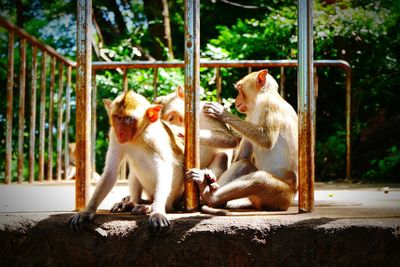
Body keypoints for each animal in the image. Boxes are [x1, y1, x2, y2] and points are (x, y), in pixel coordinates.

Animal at [69, 90, 186, 232]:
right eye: (117, 118)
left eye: (129, 120)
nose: (120, 131)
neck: (137, 137)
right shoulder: (114, 137)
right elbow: (110, 173)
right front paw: (86, 212)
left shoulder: (153, 138)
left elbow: (165, 170)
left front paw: (157, 212)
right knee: (134, 171)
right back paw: (132, 203)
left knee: (175, 171)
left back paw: (150, 206)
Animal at [187, 69, 296, 214]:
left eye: (239, 89)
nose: (236, 99)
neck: (259, 101)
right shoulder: (249, 115)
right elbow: (243, 156)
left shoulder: (270, 105)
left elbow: (266, 140)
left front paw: (221, 112)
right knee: (244, 164)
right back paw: (209, 189)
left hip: (282, 197)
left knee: (259, 179)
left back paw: (210, 196)